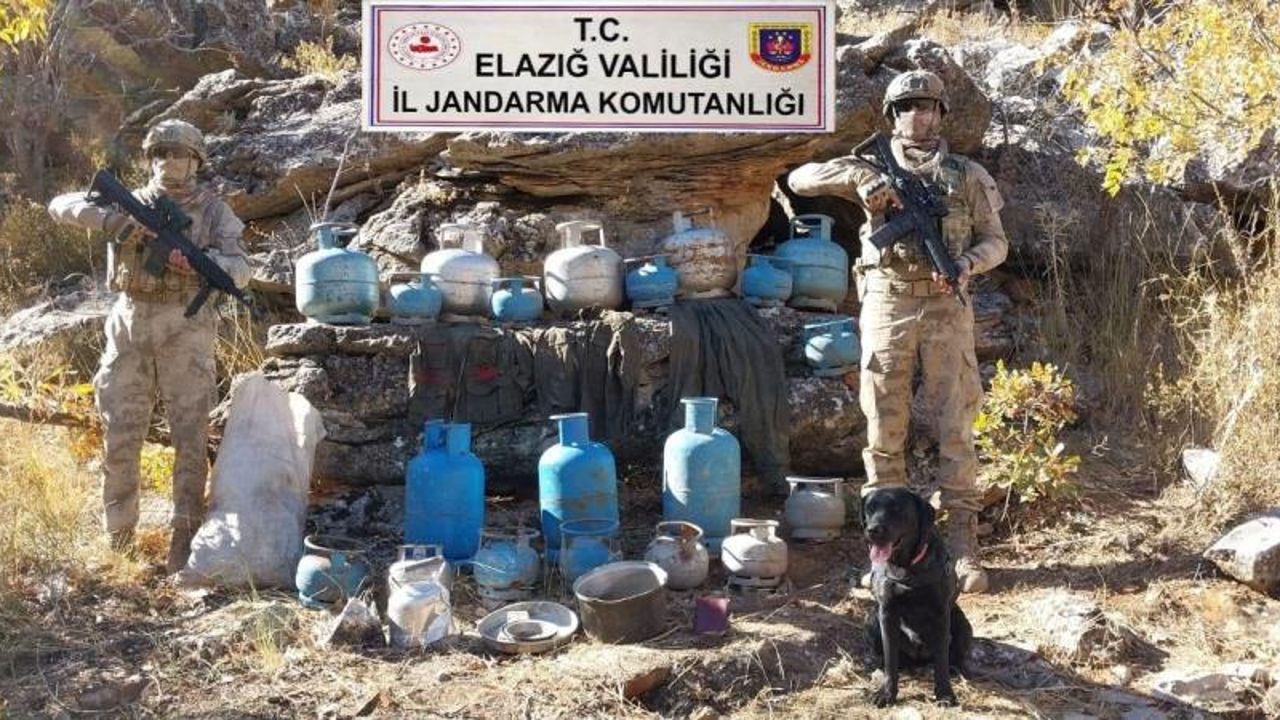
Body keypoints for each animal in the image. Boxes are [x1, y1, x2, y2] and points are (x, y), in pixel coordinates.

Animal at [865, 484, 972, 702]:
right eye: (869, 509)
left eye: (896, 509)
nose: (872, 530)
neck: (907, 567)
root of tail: (918, 660)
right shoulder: (886, 612)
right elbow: (891, 660)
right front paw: (887, 693)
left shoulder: (941, 614)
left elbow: (941, 660)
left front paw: (945, 694)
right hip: (872, 618)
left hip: (963, 624)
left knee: (953, 656)